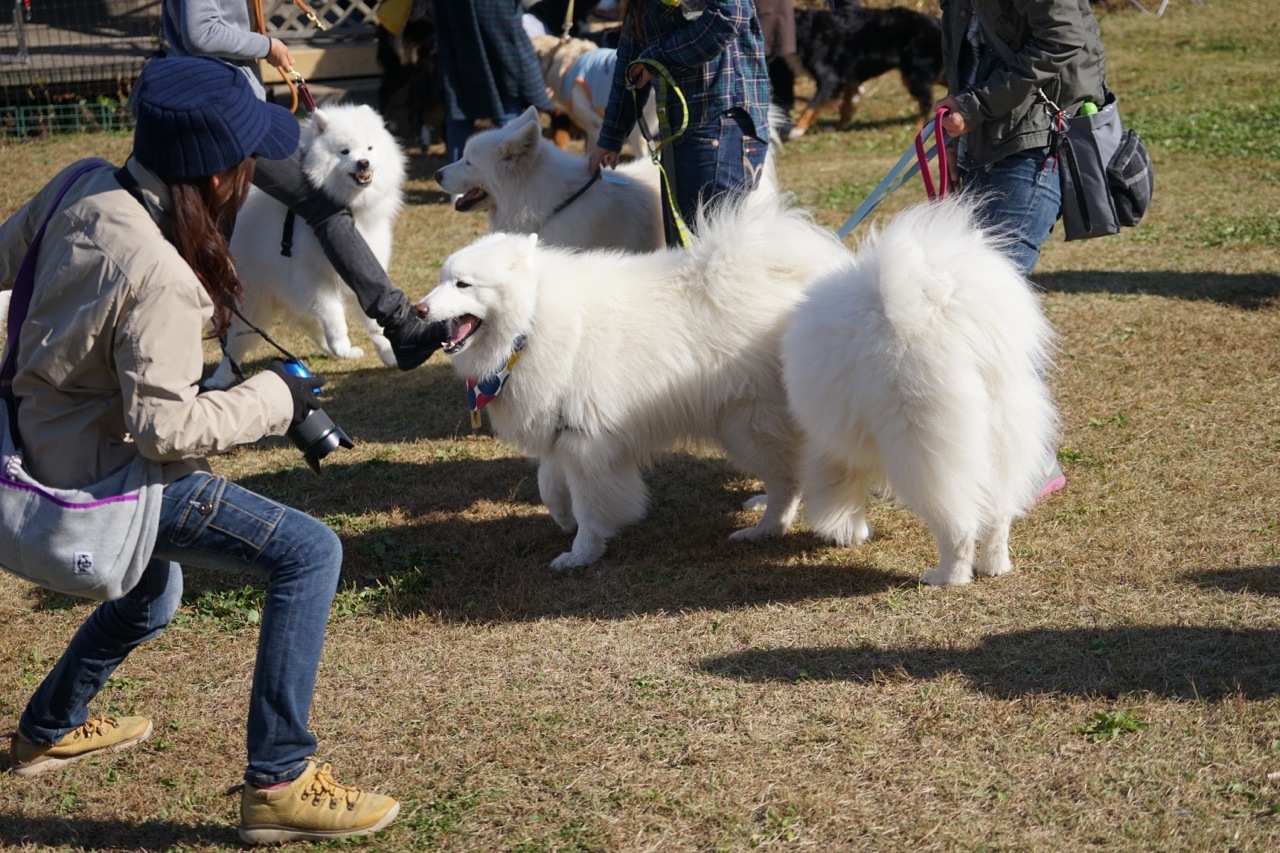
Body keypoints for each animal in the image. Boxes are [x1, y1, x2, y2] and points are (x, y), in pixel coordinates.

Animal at [207, 102, 404, 389]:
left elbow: (371, 319)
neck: (350, 208)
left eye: (369, 148)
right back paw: (219, 378)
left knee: (309, 324)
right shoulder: (309, 275)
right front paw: (342, 343)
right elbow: (332, 312)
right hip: (250, 299)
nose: (363, 162)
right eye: (344, 151)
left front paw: (388, 353)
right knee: (234, 342)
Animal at [417, 195, 849, 568]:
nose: (419, 309)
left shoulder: (586, 443)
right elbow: (548, 485)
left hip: (745, 426)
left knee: (788, 481)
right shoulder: (563, 430)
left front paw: (581, 554)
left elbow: (590, 507)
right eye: (441, 279)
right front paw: (564, 520)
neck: (531, 323)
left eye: (463, 284)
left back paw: (764, 530)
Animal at [778, 197, 1059, 584]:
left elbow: (838, 489)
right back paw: (995, 567)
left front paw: (845, 532)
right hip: (1004, 435)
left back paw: (947, 577)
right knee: (998, 516)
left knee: (958, 525)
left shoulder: (828, 440)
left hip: (921, 446)